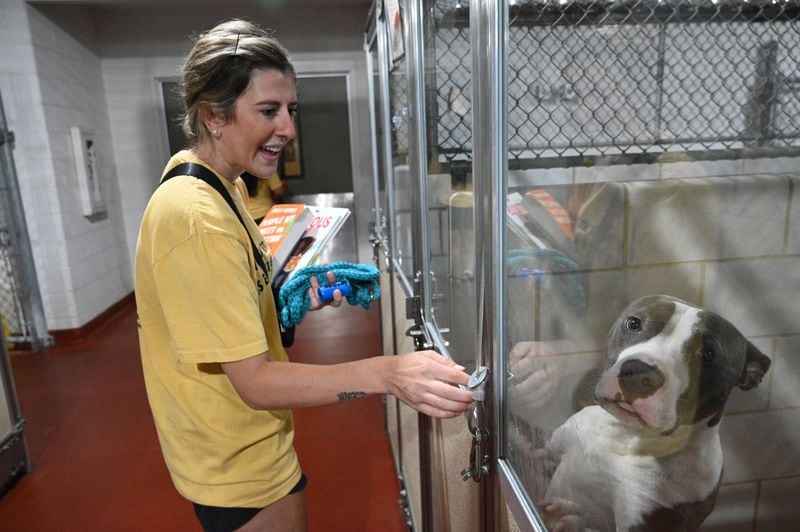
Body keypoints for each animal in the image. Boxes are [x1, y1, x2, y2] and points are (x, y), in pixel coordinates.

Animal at [540, 296, 772, 532]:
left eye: (707, 354)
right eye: (634, 323)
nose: (638, 372)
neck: (625, 435)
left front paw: (567, 520)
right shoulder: (553, 449)